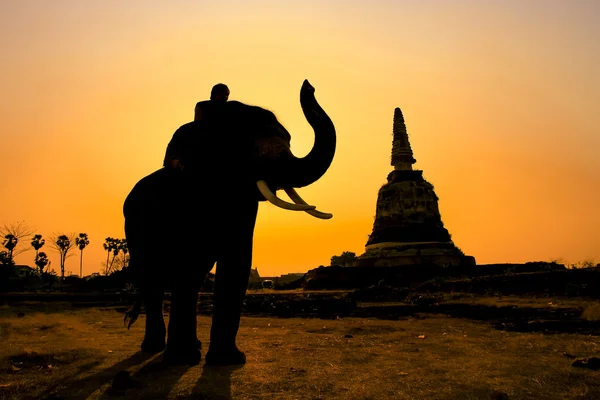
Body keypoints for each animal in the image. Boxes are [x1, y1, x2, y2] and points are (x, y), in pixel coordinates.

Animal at [123, 80, 336, 366]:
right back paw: (157, 348)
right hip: (134, 227)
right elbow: (186, 260)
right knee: (153, 277)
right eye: (241, 147)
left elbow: (238, 257)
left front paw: (227, 360)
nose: (308, 85)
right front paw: (184, 360)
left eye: (289, 140)